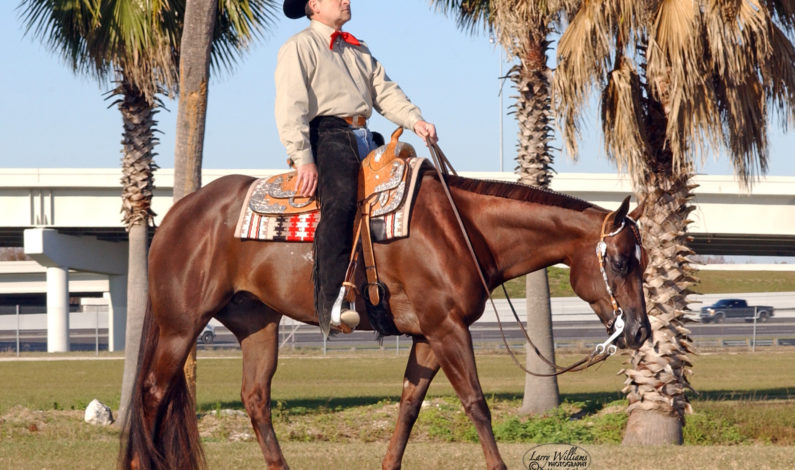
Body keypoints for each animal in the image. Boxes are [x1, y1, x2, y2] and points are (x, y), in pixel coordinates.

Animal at [119, 170, 652, 470]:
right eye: (620, 262)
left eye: (643, 261)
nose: (640, 331)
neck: (459, 229)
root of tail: (178, 211)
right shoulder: (447, 328)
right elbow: (476, 404)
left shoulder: (428, 337)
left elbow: (409, 409)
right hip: (180, 325)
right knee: (152, 393)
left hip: (257, 323)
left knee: (255, 398)